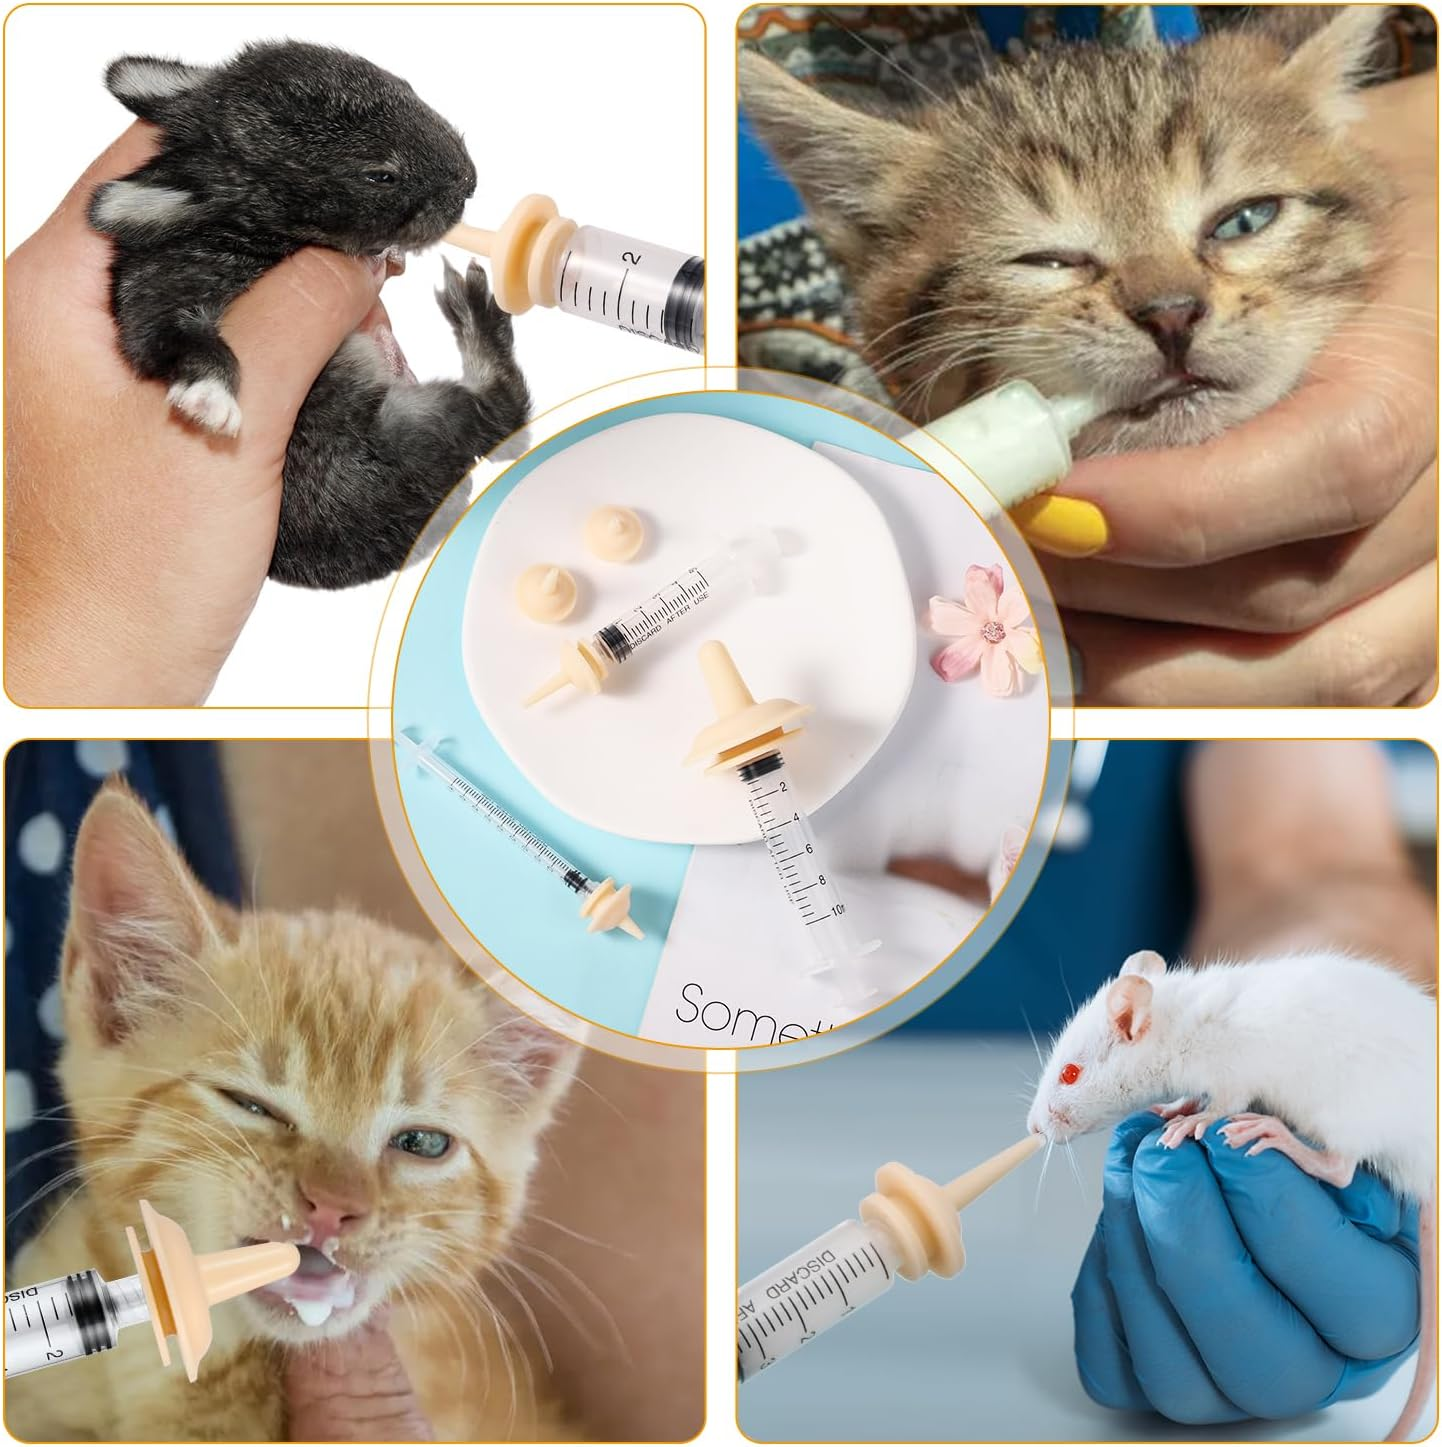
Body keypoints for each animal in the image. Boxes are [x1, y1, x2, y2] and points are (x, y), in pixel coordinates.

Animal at [88, 42, 530, 588]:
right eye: (379, 175)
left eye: (404, 86)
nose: (469, 181)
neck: (249, 230)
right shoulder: (160, 299)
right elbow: (189, 343)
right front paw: (210, 404)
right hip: (422, 422)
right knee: (504, 412)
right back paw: (473, 306)